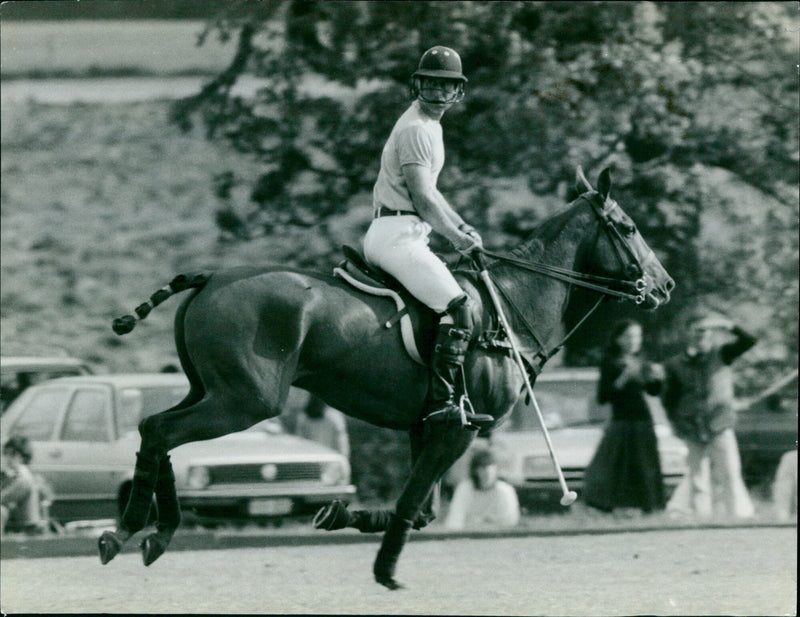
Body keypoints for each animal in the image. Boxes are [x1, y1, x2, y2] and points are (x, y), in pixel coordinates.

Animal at [97, 167, 672, 588]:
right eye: (628, 228)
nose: (664, 285)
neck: (512, 302)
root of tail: (210, 276)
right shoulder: (461, 429)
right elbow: (412, 503)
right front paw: (385, 570)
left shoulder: (430, 424)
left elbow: (423, 509)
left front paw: (333, 515)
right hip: (245, 400)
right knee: (160, 430)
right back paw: (127, 532)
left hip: (209, 389)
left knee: (155, 427)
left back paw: (152, 535)